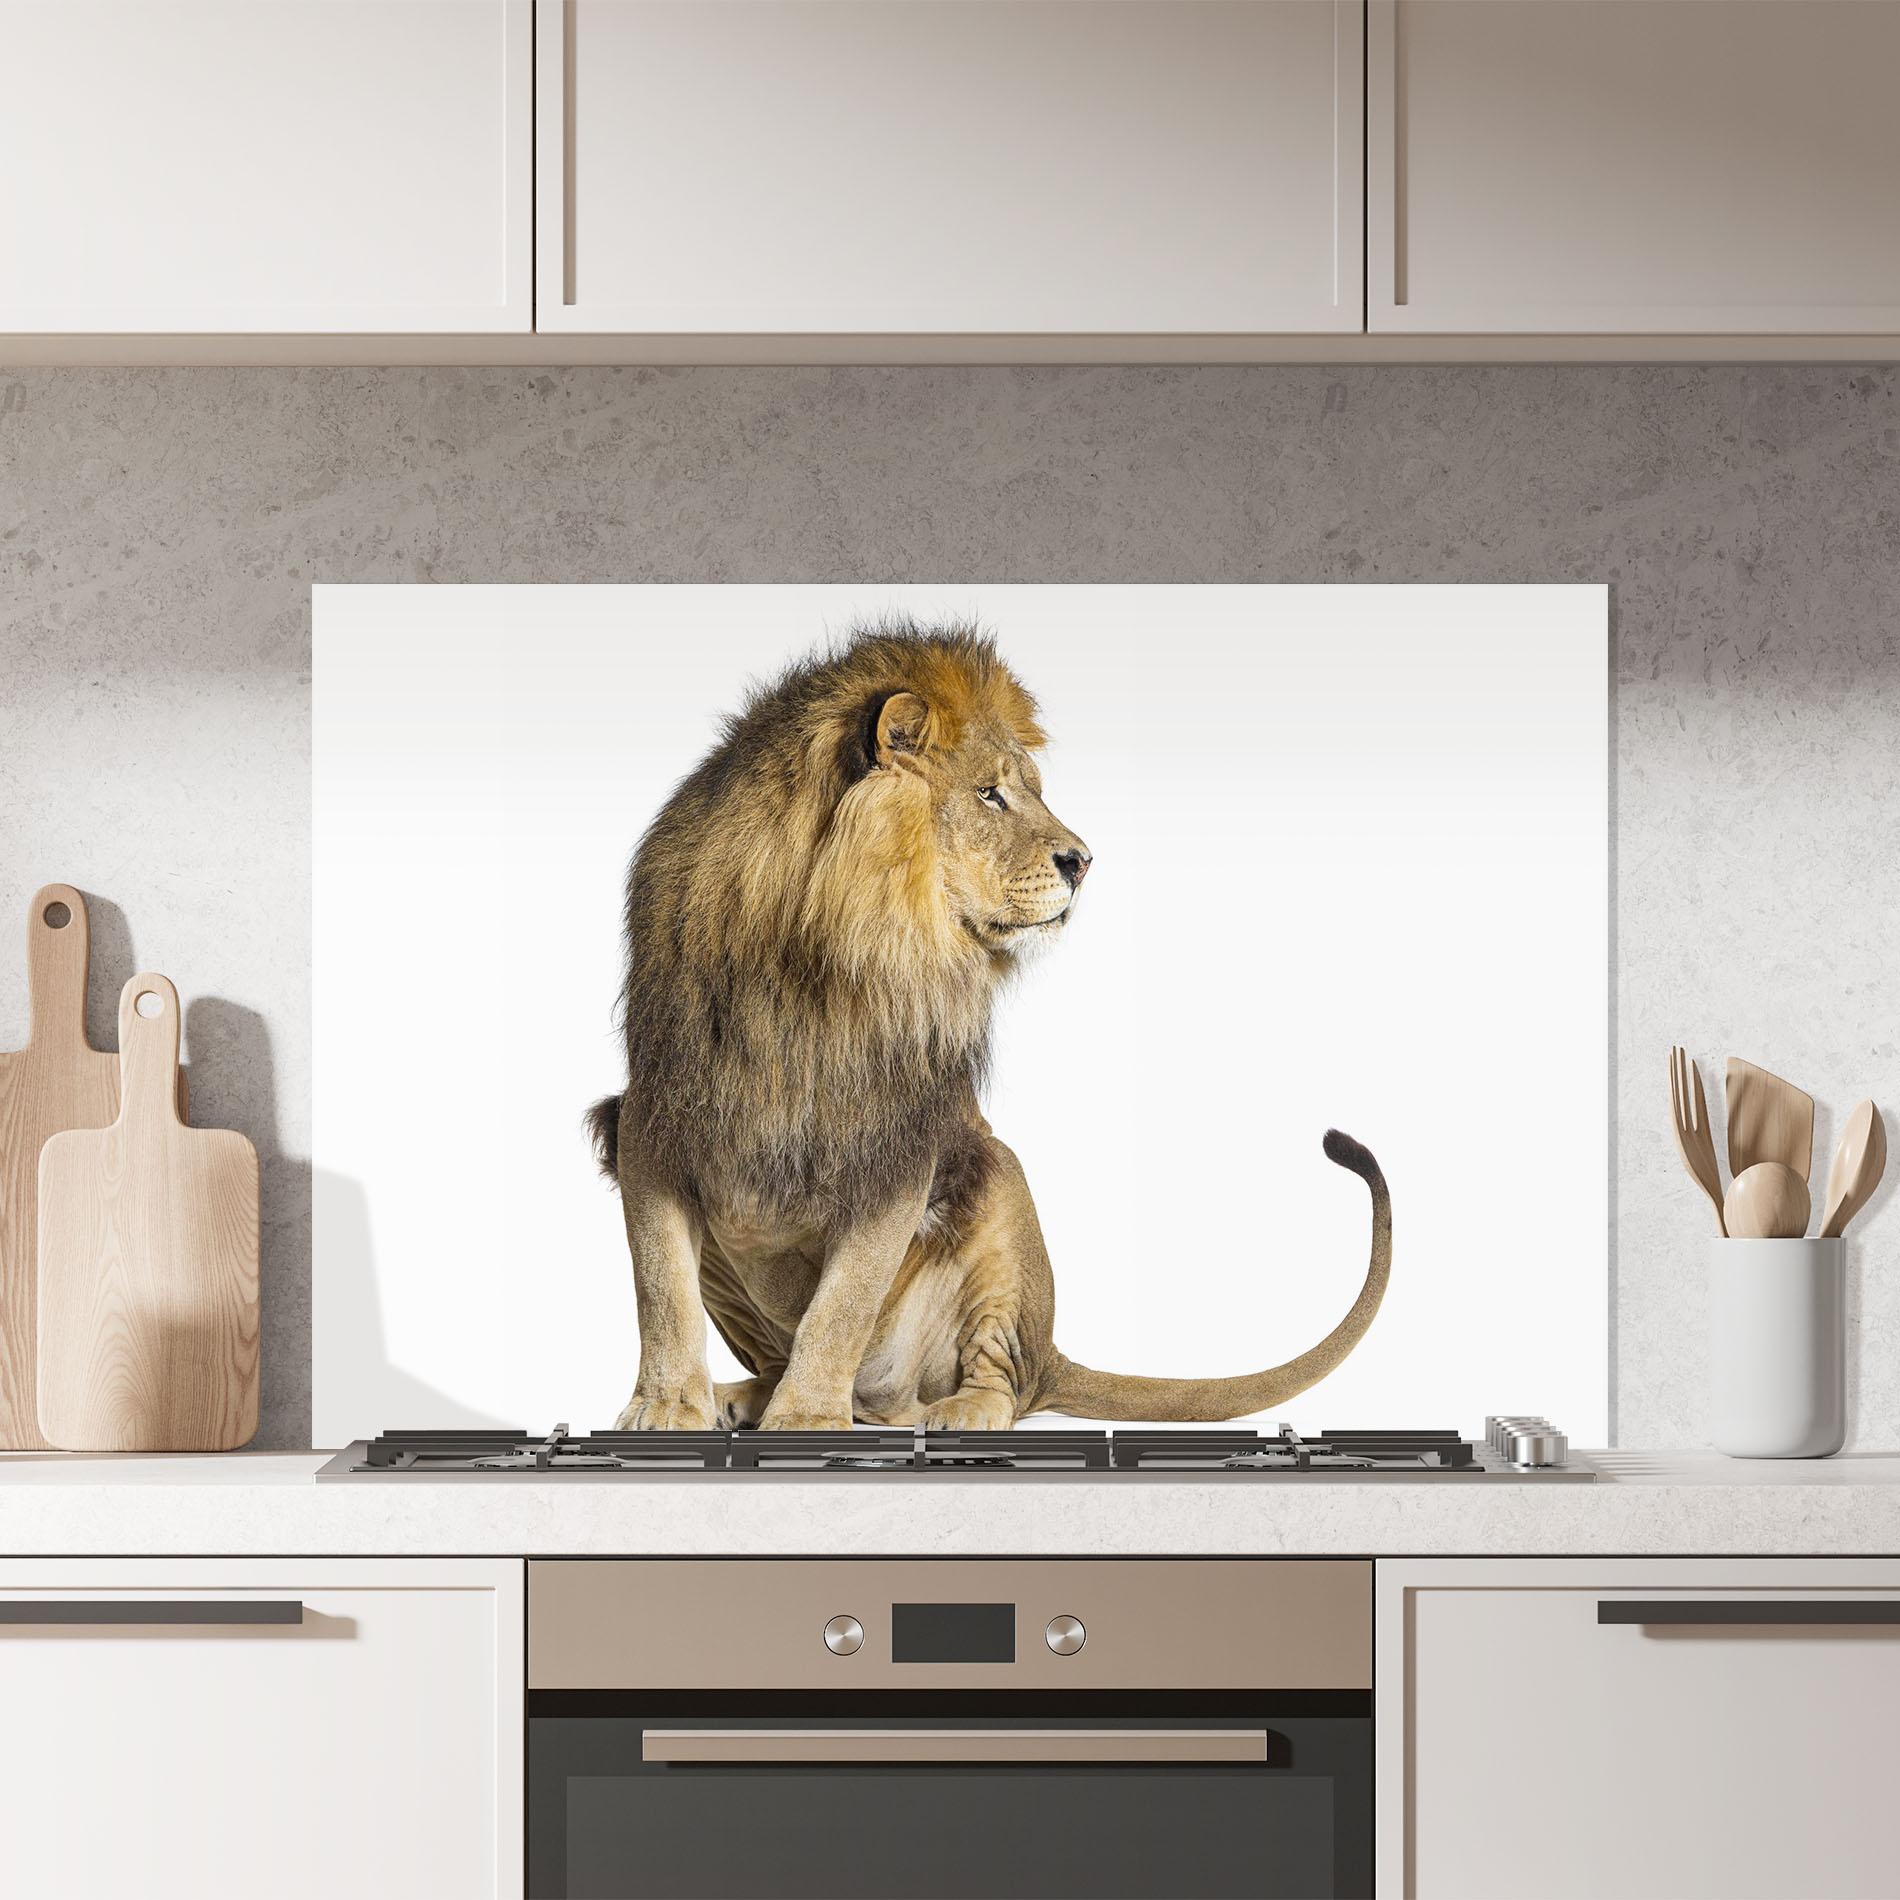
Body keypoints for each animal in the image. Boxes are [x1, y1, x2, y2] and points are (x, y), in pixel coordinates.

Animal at [590, 621, 1390, 1432]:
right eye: (990, 794)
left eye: (1029, 792)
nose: (1084, 862)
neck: (815, 960)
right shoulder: (652, 1117)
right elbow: (661, 1288)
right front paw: (669, 1406)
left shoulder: (899, 1144)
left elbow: (842, 1305)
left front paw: (808, 1417)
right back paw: (746, 1397)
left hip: (1000, 1190)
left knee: (1001, 1379)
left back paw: (953, 1409)